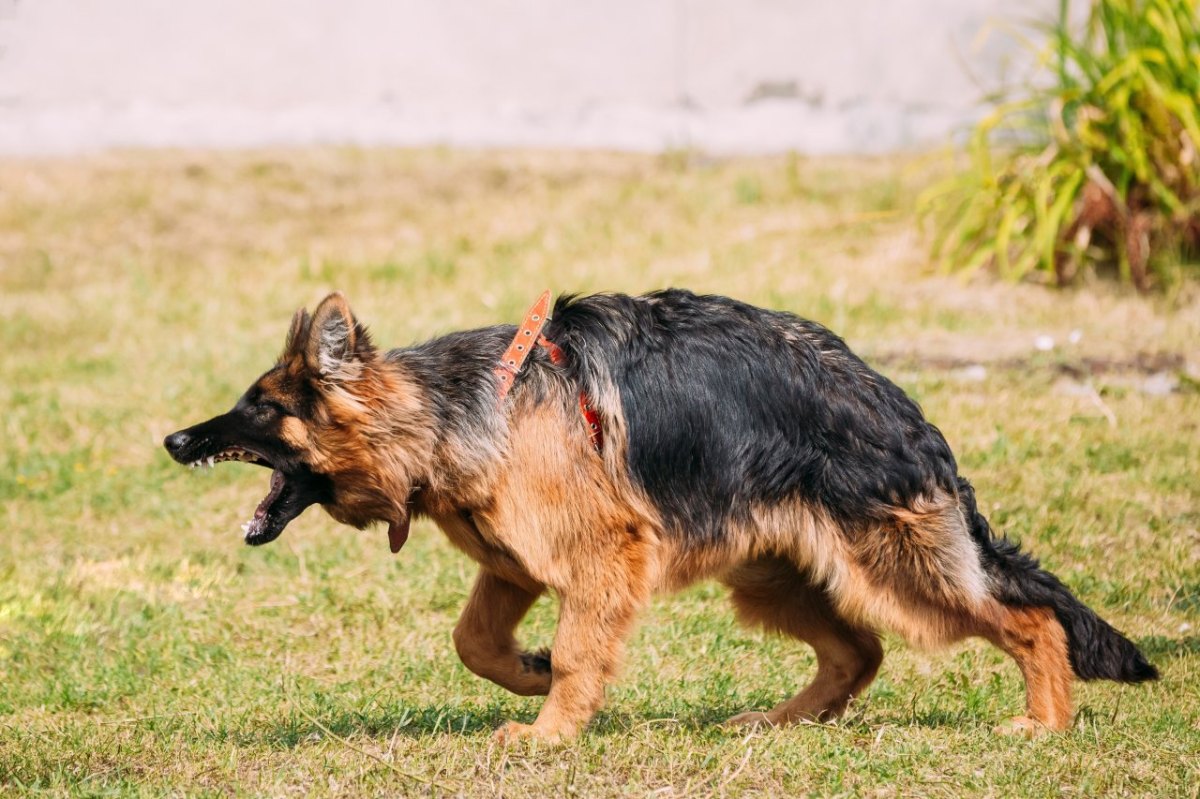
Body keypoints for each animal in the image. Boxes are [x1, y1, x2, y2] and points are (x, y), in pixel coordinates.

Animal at [159, 287, 1152, 739]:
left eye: (257, 407)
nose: (172, 439)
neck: (448, 415)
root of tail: (896, 406)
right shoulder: (513, 562)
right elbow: (474, 641)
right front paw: (529, 676)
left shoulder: (598, 557)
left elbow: (576, 649)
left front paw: (550, 732)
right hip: (771, 575)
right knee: (858, 649)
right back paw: (783, 721)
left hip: (892, 566)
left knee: (1025, 617)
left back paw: (1043, 720)